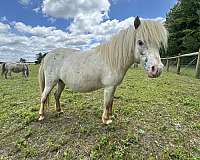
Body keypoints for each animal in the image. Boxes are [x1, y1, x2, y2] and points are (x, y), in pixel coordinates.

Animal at [38, 16, 168, 124]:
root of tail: (48, 55)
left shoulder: (114, 87)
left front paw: (111, 116)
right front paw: (106, 120)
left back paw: (59, 111)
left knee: (56, 95)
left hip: (61, 82)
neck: (113, 60)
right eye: (140, 42)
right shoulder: (109, 87)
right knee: (43, 96)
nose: (157, 69)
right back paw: (41, 115)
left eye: (159, 44)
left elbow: (111, 102)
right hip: (50, 83)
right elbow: (106, 103)